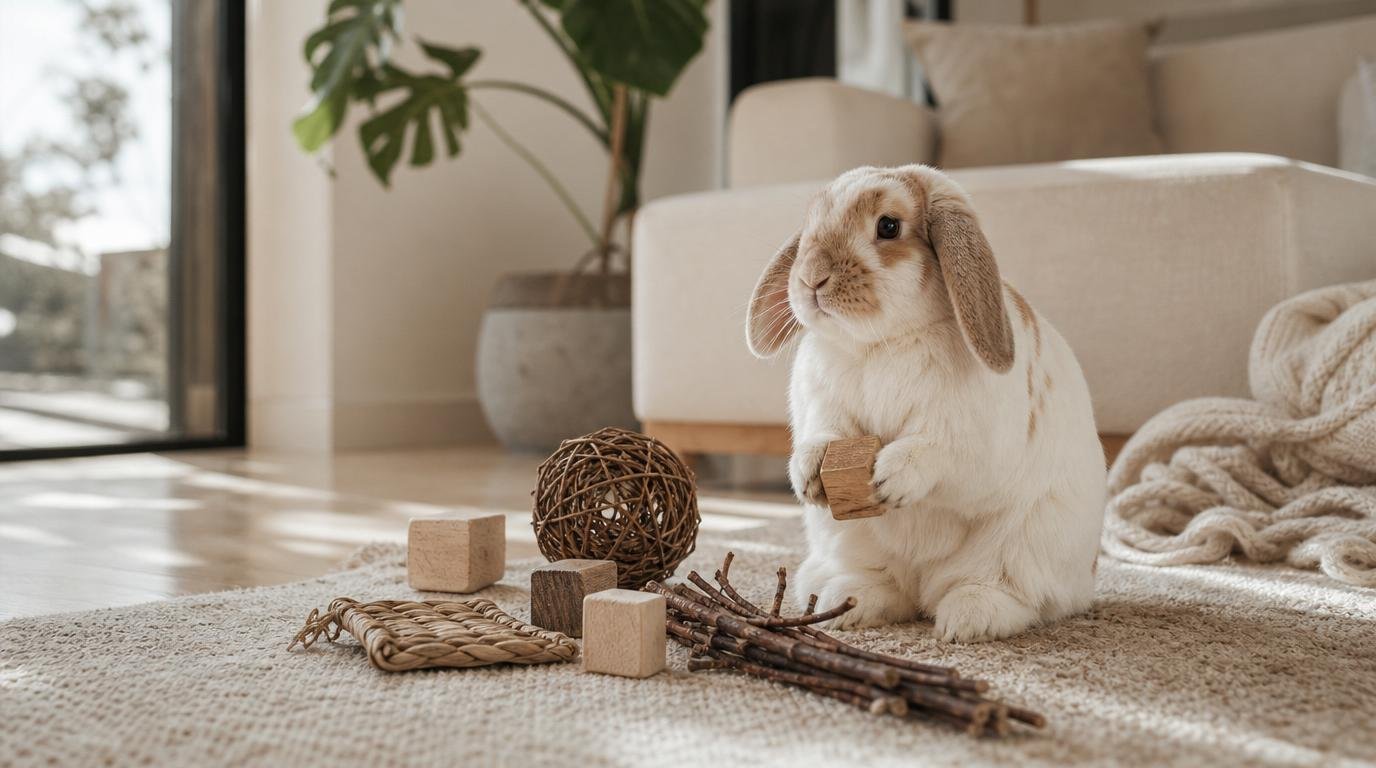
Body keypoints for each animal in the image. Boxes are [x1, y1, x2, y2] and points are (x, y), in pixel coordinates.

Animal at [745, 164, 1106, 642]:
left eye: (888, 226)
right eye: (809, 226)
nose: (811, 279)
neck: (881, 343)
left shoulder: (969, 444)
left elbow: (936, 453)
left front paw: (888, 479)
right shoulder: (821, 411)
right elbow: (822, 437)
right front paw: (808, 476)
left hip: (1027, 545)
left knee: (1010, 594)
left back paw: (966, 621)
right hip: (848, 542)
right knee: (887, 588)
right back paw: (844, 604)